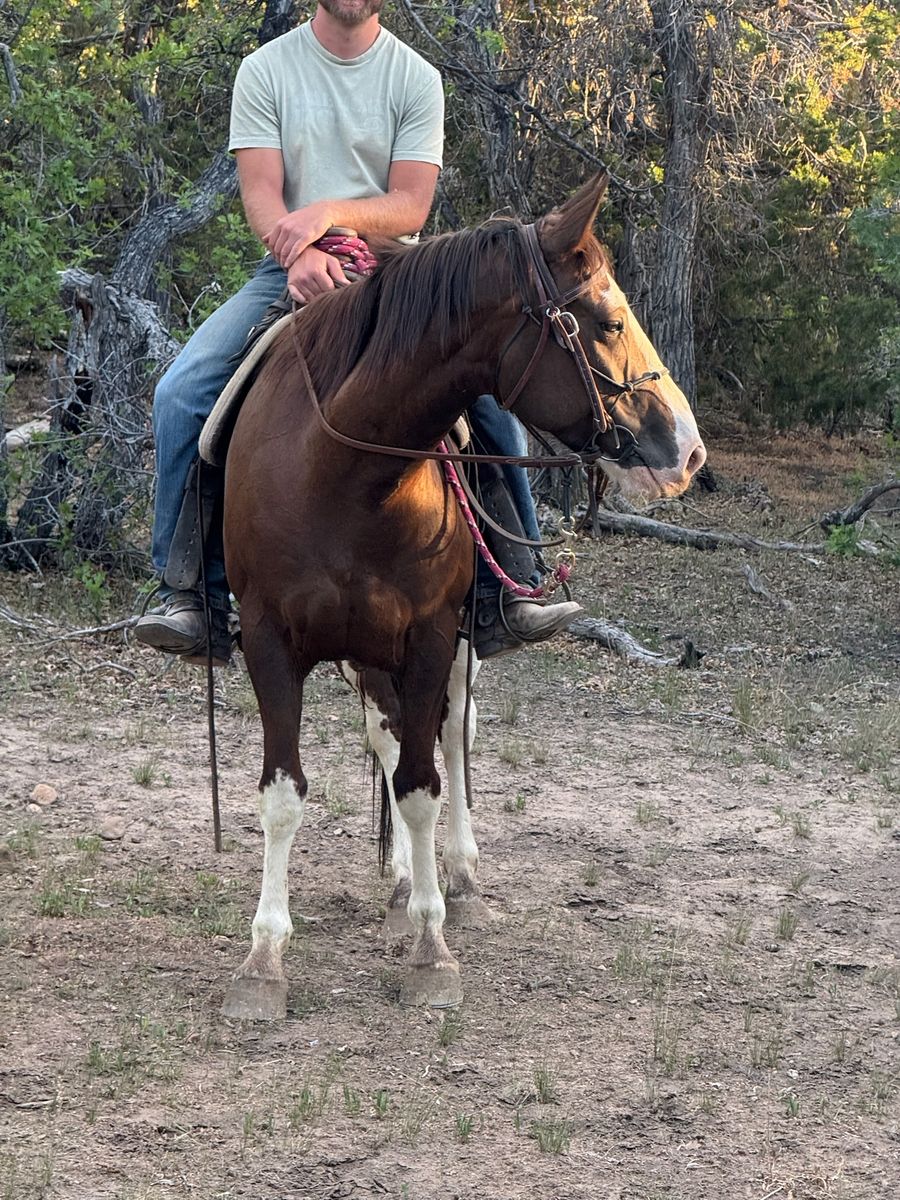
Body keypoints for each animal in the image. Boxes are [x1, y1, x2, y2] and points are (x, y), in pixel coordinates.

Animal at [220, 174, 706, 1019]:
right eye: (609, 321)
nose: (688, 450)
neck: (346, 471)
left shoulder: (430, 636)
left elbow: (423, 786)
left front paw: (432, 946)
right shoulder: (270, 640)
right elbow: (286, 795)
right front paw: (263, 962)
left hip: (443, 651)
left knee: (449, 738)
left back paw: (462, 883)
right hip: (363, 655)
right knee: (388, 740)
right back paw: (401, 885)